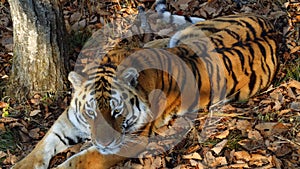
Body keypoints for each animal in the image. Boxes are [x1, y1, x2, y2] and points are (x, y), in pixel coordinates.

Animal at [10, 11, 278, 169]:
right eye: (90, 113)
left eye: (117, 113)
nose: (104, 141)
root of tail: (270, 26)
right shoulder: (69, 120)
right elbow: (42, 145)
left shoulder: (130, 142)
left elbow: (79, 161)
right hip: (186, 35)